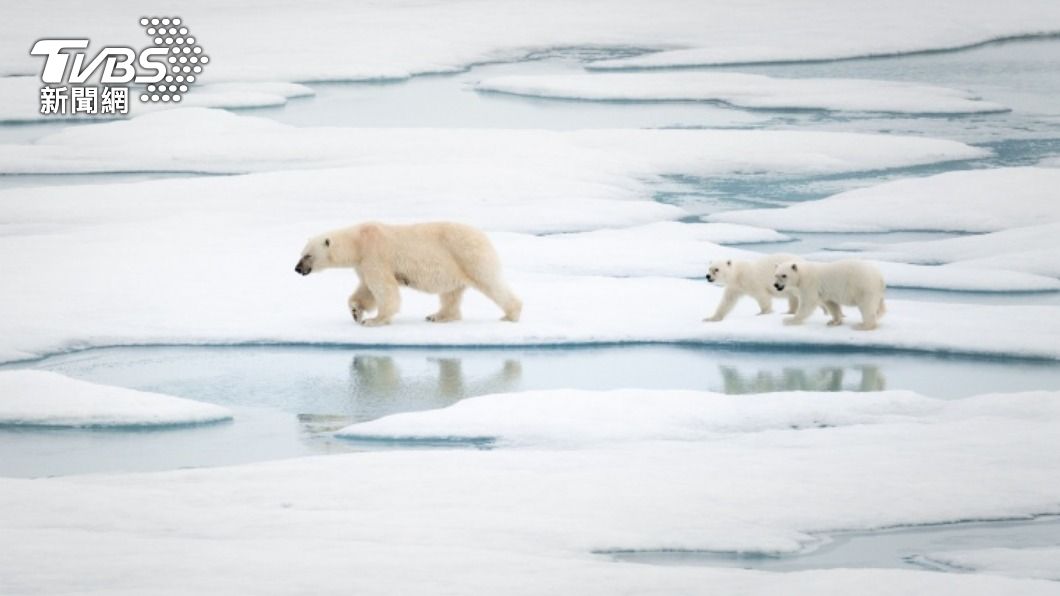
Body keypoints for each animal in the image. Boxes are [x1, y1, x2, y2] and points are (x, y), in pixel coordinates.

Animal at [295, 221, 522, 326]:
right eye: (301, 253)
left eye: (308, 255)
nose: (297, 269)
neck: (358, 241)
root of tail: (484, 236)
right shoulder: (363, 263)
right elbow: (366, 289)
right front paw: (356, 311)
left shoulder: (375, 255)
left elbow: (384, 289)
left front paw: (374, 320)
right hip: (453, 266)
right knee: (450, 294)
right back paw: (438, 316)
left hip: (468, 255)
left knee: (490, 281)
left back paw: (510, 314)